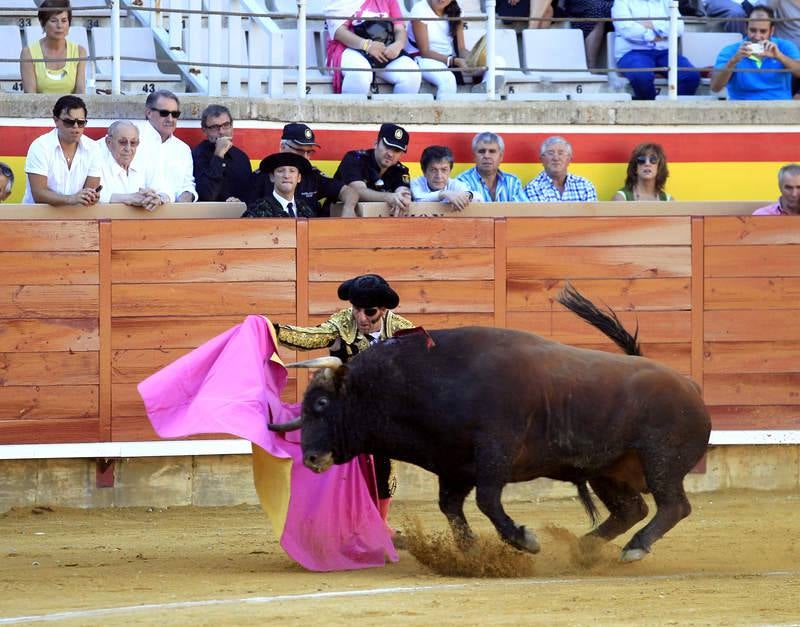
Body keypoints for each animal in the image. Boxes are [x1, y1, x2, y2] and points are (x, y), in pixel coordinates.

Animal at [272, 286, 708, 564]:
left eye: (322, 404)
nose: (311, 457)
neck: (431, 379)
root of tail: (690, 385)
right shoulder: (455, 465)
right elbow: (451, 506)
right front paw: (470, 551)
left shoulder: (495, 453)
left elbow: (486, 500)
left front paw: (524, 540)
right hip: (606, 469)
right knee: (632, 508)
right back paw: (585, 549)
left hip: (660, 460)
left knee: (674, 505)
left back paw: (634, 548)